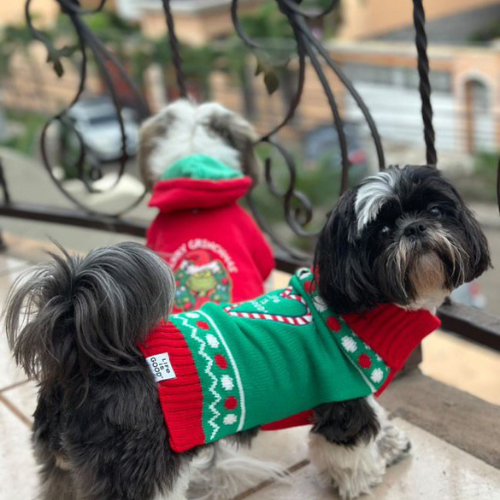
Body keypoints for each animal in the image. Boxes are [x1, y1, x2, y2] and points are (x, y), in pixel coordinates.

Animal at [3, 165, 488, 500]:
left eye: (436, 209)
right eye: (382, 229)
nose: (415, 227)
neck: (361, 308)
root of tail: (83, 361)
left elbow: (380, 415)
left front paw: (389, 443)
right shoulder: (342, 398)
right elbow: (350, 448)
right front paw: (365, 477)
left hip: (65, 467)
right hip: (138, 468)